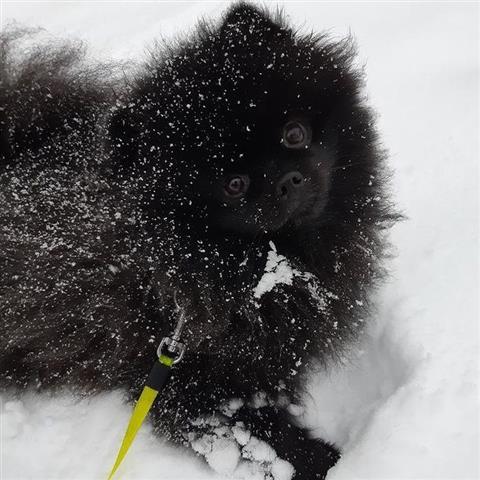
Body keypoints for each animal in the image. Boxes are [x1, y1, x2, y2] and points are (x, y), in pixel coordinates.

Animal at [0, 4, 398, 480]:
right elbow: (264, 438)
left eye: (294, 134)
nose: (286, 180)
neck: (271, 266)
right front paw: (329, 462)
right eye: (233, 184)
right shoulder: (185, 381)